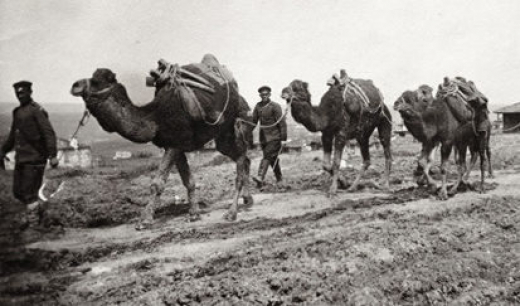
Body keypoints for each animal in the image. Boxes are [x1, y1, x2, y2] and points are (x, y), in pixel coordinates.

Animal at [70, 63, 254, 228]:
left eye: (95, 81)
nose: (74, 85)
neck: (155, 118)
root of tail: (243, 101)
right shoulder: (175, 146)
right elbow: (189, 181)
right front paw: (194, 214)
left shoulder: (174, 144)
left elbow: (157, 183)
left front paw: (144, 220)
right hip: (222, 137)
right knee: (244, 159)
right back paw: (248, 199)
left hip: (236, 125)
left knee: (241, 160)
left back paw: (231, 213)